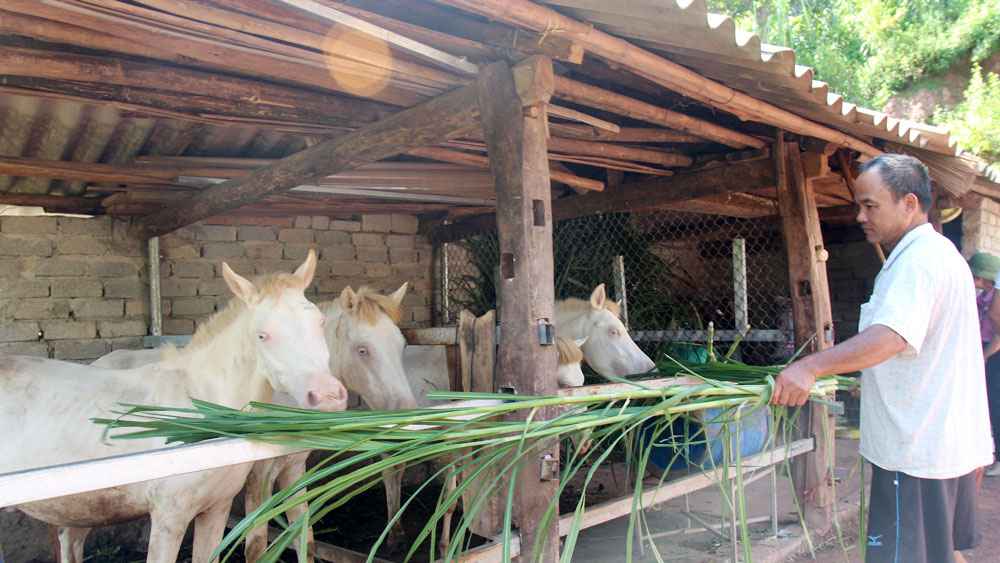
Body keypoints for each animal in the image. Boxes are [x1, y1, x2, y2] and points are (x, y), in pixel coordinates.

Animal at [1, 252, 348, 563]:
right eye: (262, 335)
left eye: (319, 322)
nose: (327, 396)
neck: (197, 405)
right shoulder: (169, 517)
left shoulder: (216, 510)